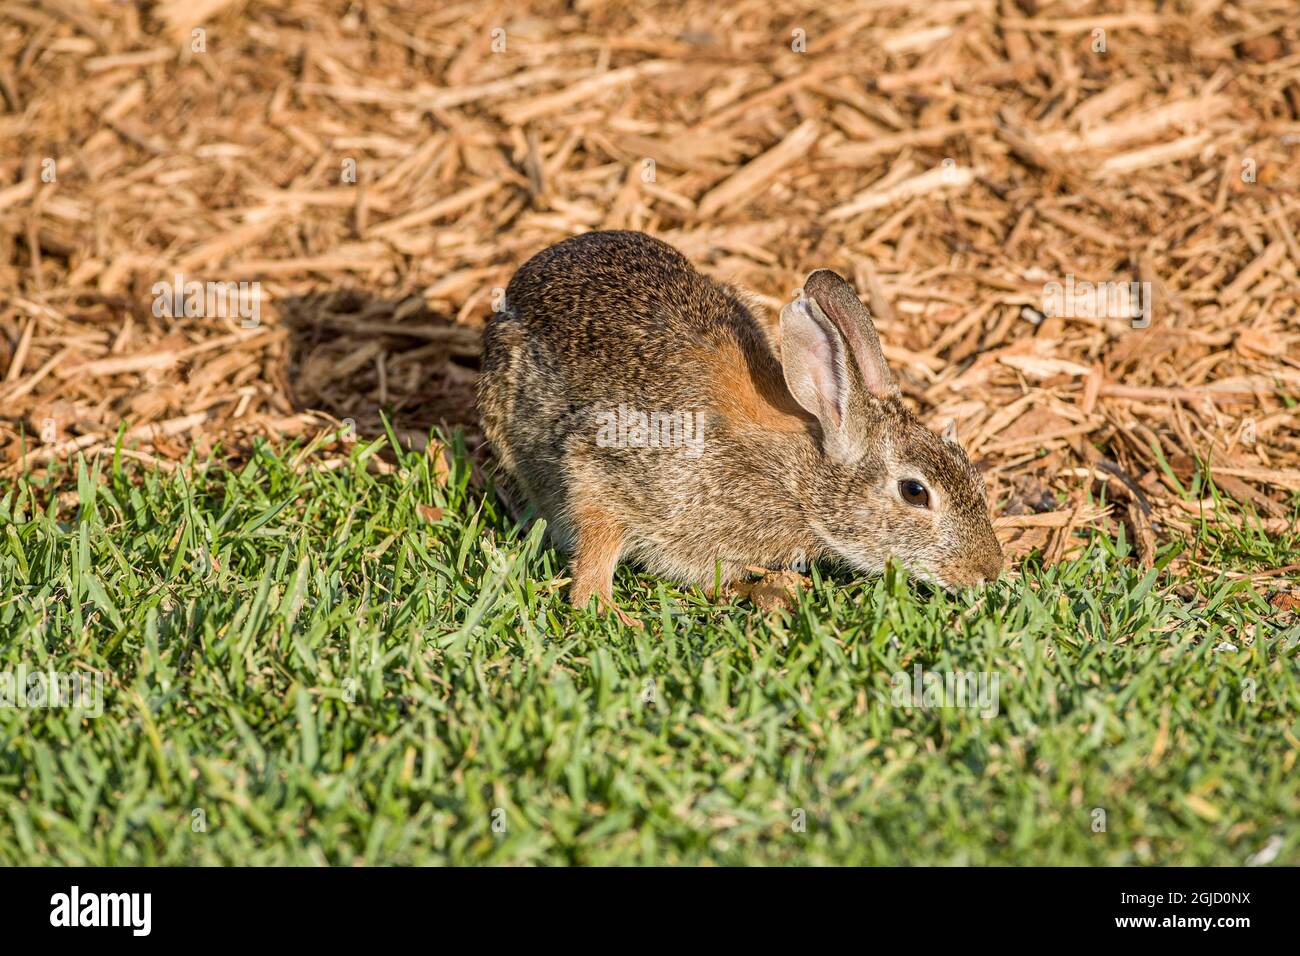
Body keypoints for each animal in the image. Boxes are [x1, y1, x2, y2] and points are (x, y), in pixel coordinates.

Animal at [478, 230, 1002, 622]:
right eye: (915, 492)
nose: (990, 571)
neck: (797, 480)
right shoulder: (605, 473)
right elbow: (595, 553)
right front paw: (609, 612)